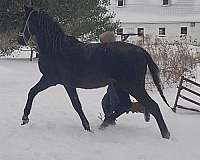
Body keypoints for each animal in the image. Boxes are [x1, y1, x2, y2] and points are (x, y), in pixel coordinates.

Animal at [18, 5, 170, 139]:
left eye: (25, 20)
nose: (20, 39)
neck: (56, 48)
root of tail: (141, 51)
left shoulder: (52, 80)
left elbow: (34, 92)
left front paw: (25, 118)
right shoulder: (64, 83)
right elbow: (75, 104)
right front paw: (88, 127)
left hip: (133, 87)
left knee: (153, 106)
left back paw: (166, 135)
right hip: (120, 86)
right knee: (125, 105)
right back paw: (104, 124)